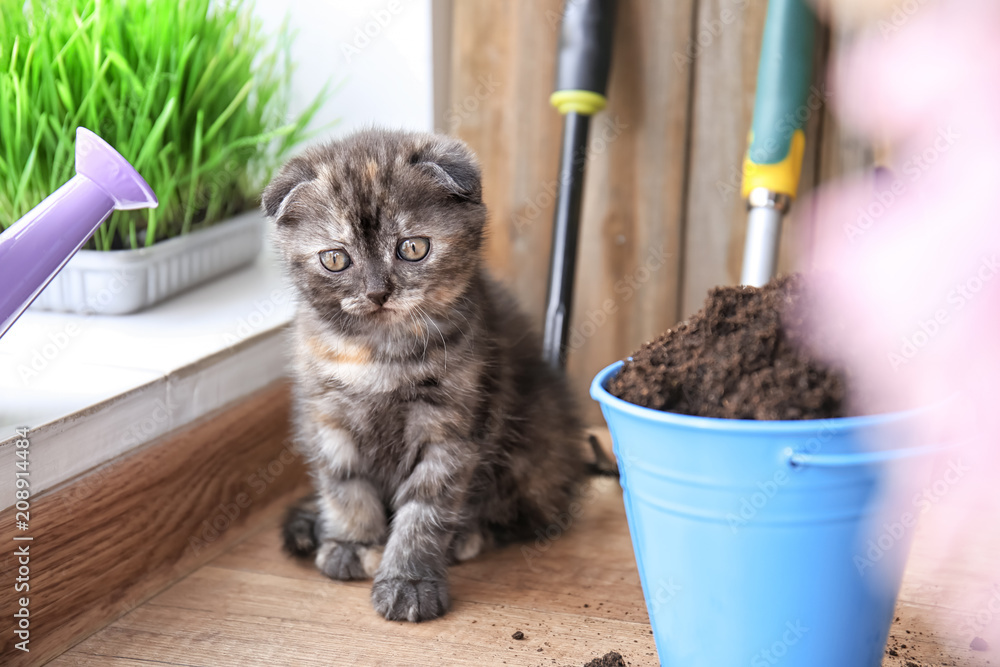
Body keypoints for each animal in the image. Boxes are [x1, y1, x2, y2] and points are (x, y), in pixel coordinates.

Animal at [264, 132, 584, 628]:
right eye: (335, 258)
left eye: (413, 248)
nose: (378, 292)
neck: (379, 351)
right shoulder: (326, 416)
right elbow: (344, 483)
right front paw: (353, 543)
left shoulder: (451, 430)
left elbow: (425, 509)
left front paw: (409, 582)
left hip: (537, 447)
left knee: (528, 514)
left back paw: (467, 536)